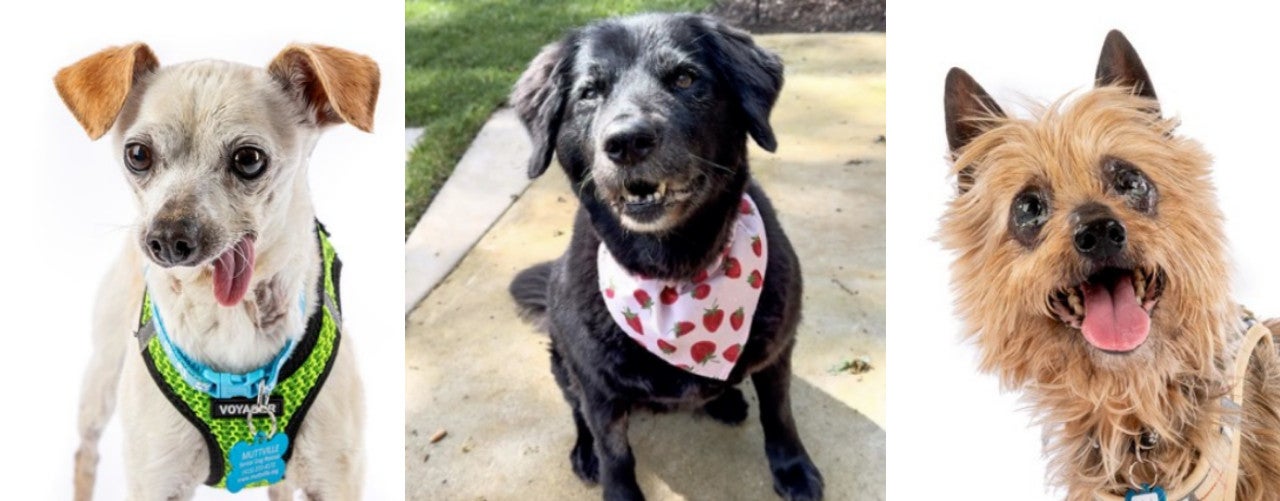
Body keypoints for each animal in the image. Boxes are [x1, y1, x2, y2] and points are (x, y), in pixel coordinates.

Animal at [57, 44, 376, 501]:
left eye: (249, 159)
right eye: (137, 155)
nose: (166, 237)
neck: (227, 314)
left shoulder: (336, 476)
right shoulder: (156, 479)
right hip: (100, 379)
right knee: (85, 452)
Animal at [506, 13, 819, 499]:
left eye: (686, 78)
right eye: (589, 92)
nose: (627, 142)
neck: (675, 272)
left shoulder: (776, 353)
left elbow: (780, 415)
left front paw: (794, 469)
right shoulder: (596, 387)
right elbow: (615, 454)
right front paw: (616, 486)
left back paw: (726, 400)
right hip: (563, 363)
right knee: (578, 413)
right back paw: (585, 451)